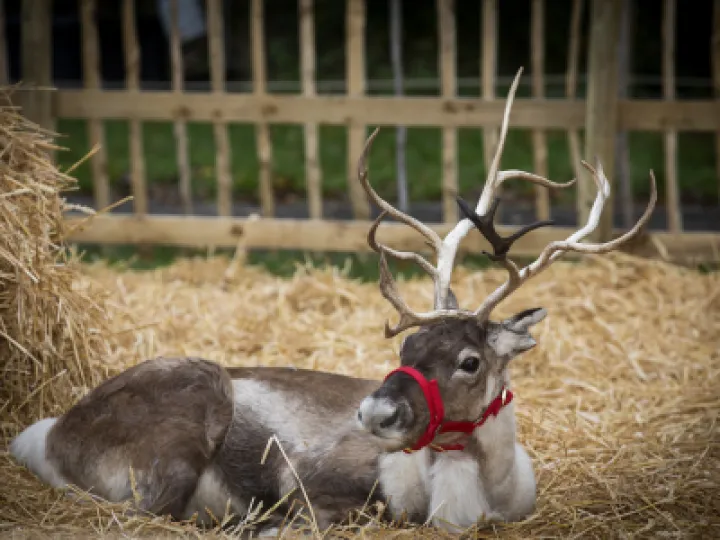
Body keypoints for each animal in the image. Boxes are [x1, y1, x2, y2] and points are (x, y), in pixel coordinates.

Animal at [9, 67, 657, 536]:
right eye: (408, 344)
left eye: (469, 361)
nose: (375, 413)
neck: (482, 495)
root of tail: (47, 435)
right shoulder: (310, 481)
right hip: (184, 424)